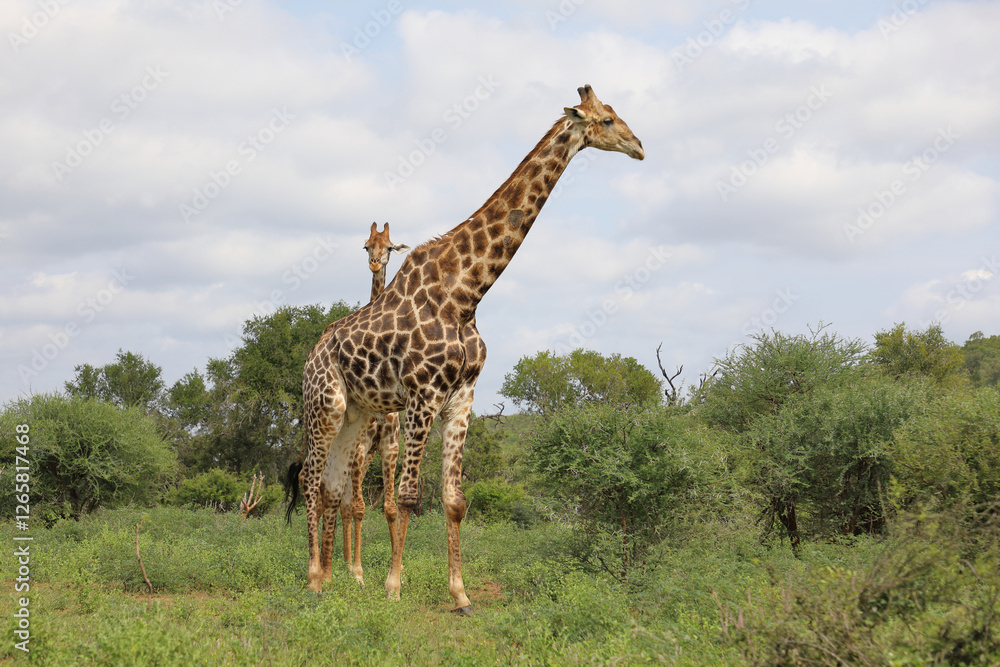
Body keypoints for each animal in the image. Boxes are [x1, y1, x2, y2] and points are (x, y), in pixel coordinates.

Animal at [299, 85, 643, 614]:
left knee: (333, 487)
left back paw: (332, 579)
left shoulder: (462, 395)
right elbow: (407, 497)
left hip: (356, 415)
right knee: (311, 481)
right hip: (326, 406)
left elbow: (455, 501)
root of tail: (310, 357)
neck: (466, 294)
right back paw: (315, 579)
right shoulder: (422, 394)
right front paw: (393, 587)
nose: (639, 146)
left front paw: (460, 595)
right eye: (606, 120)